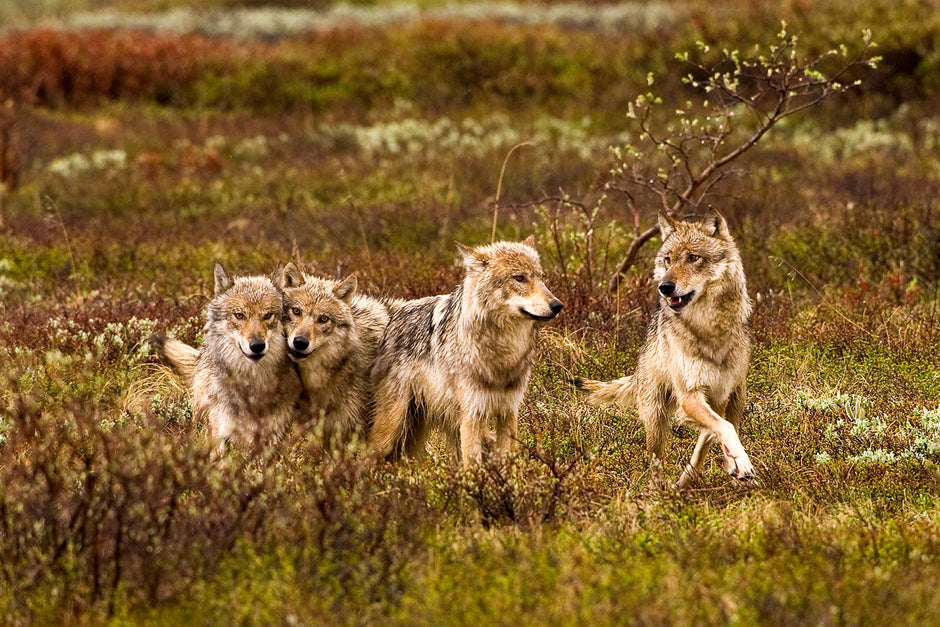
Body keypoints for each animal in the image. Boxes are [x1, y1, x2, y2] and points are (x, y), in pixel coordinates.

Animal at [154, 262, 301, 447]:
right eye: (239, 315)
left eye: (267, 315)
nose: (257, 346)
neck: (253, 382)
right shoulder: (220, 433)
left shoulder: (273, 435)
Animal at [369, 236, 563, 467]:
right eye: (520, 278)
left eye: (542, 278)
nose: (558, 305)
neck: (501, 353)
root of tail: (393, 316)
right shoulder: (472, 414)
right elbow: (473, 466)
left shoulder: (508, 411)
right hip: (391, 428)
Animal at [573, 209, 755, 488]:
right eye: (668, 260)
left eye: (693, 258)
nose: (665, 287)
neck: (709, 328)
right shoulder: (689, 395)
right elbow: (722, 428)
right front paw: (740, 462)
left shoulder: (719, 395)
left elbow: (718, 431)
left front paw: (736, 463)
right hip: (656, 418)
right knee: (657, 460)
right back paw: (660, 491)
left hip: (738, 397)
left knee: (716, 432)